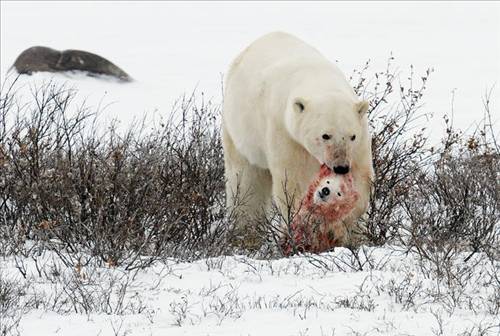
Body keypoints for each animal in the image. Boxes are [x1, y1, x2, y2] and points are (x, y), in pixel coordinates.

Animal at [222, 31, 372, 245]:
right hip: (240, 130)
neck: (317, 78)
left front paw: (346, 229)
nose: (341, 167)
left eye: (352, 136)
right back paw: (245, 232)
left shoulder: (360, 143)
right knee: (245, 181)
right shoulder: (286, 133)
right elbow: (293, 182)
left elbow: (361, 178)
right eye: (325, 135)